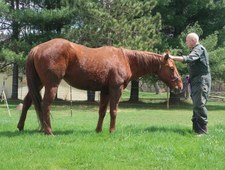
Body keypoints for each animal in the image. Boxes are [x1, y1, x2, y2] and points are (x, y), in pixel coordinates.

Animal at [17, 38, 183, 134]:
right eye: (171, 68)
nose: (180, 86)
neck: (125, 59)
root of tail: (37, 49)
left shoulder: (105, 91)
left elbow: (102, 111)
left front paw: (98, 130)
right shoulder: (116, 89)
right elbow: (113, 111)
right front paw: (112, 131)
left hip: (38, 84)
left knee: (27, 102)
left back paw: (20, 127)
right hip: (51, 84)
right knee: (45, 105)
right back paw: (49, 131)